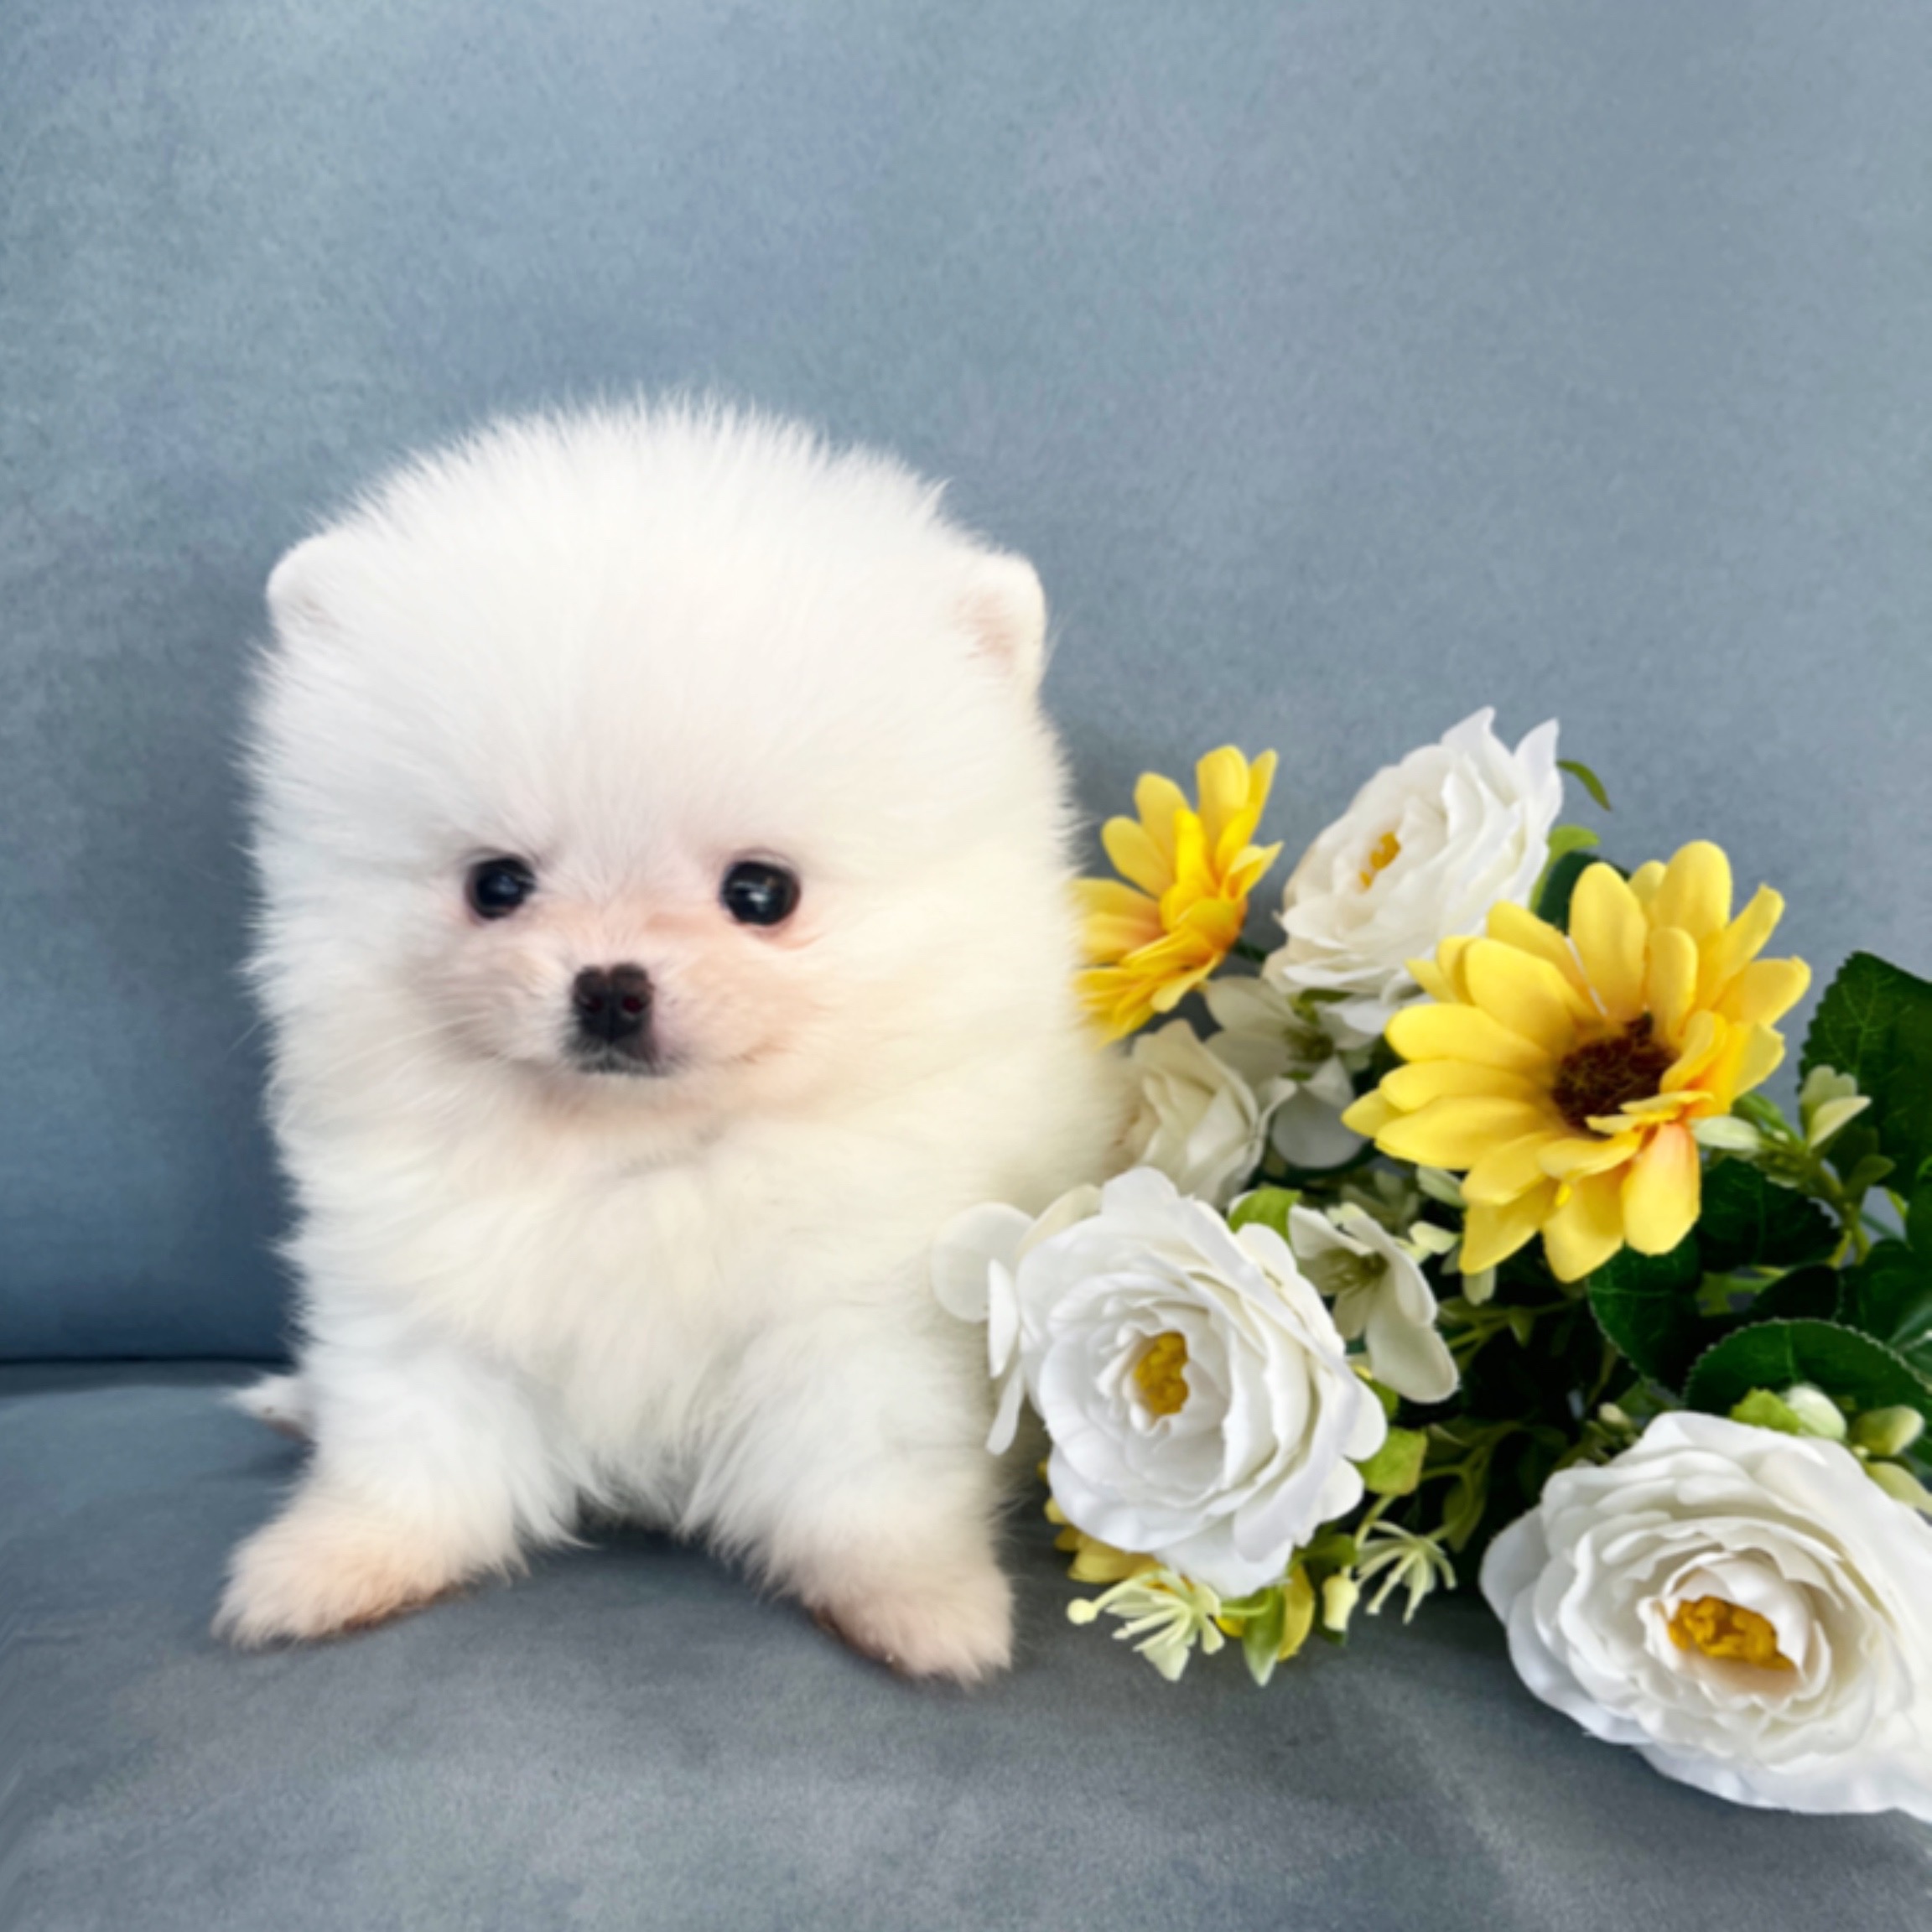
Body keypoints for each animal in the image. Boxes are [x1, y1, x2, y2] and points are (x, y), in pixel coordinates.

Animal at [219, 403, 1124, 1681]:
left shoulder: (861, 1319)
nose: (610, 987)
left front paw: (921, 1601)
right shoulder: (422, 1285)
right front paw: (335, 1563)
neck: (635, 1157)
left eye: (761, 893)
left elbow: (869, 1478)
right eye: (496, 886)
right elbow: (410, 1448)